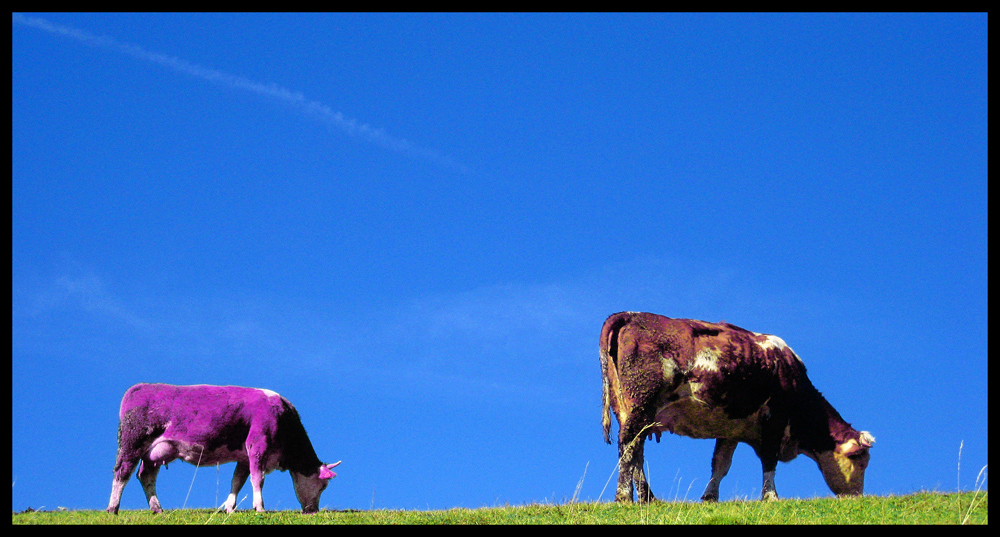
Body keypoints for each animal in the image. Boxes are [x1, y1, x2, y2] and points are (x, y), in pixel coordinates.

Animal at [105, 384, 340, 512]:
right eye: (323, 486)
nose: (313, 511)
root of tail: (139, 387)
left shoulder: (244, 456)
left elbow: (237, 481)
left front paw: (229, 507)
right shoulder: (258, 445)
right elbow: (258, 478)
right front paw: (260, 507)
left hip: (154, 454)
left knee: (146, 476)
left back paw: (157, 509)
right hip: (132, 443)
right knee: (122, 474)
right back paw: (113, 508)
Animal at [600, 310, 876, 502]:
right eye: (861, 462)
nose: (857, 497)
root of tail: (630, 314)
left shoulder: (730, 427)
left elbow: (721, 464)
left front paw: (710, 496)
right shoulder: (775, 417)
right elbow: (769, 460)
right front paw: (771, 496)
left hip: (630, 409)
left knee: (636, 449)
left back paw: (648, 497)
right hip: (641, 403)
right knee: (629, 445)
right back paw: (624, 496)